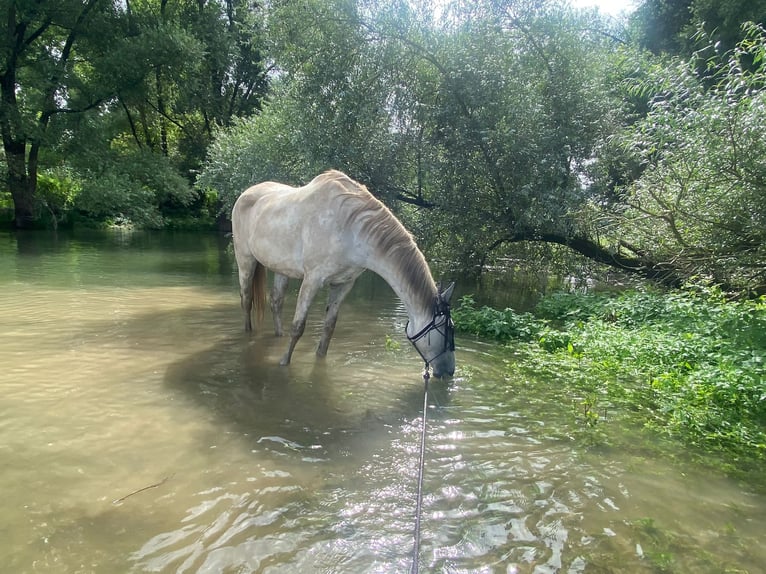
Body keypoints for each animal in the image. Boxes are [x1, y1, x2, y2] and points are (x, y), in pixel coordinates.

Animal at [228, 169, 456, 380]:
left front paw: (320, 360)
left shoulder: (343, 284)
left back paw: (278, 335)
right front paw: (284, 362)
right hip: (245, 260)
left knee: (276, 302)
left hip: (281, 268)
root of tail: (245, 194)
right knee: (246, 299)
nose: (449, 372)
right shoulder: (312, 280)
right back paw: (248, 333)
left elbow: (329, 328)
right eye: (448, 331)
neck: (350, 228)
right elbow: (298, 326)